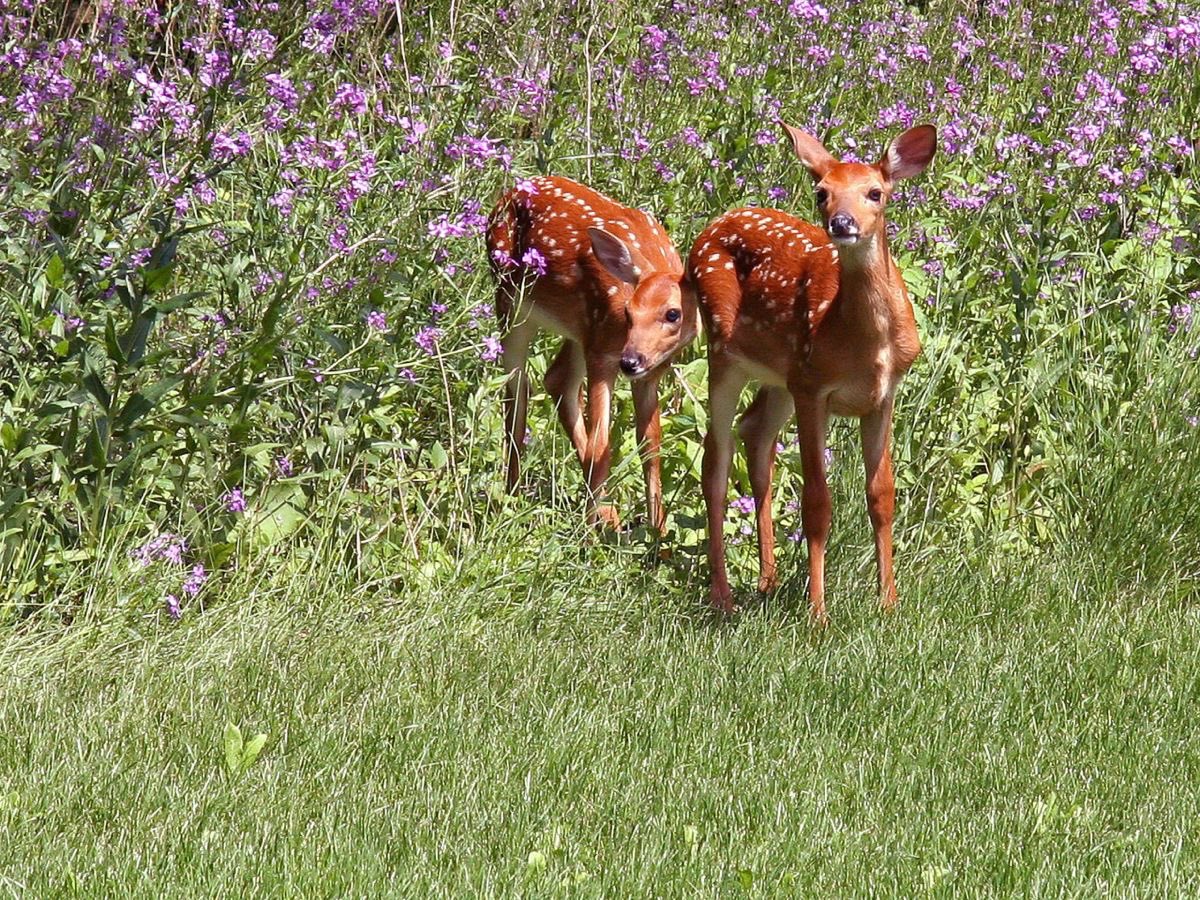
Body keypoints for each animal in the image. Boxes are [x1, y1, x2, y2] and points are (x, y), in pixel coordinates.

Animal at [486, 175, 699, 533]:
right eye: (628, 311)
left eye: (673, 314)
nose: (631, 361)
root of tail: (511, 191)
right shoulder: (602, 355)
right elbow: (603, 446)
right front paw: (586, 534)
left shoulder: (652, 371)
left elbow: (650, 444)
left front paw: (658, 532)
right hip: (512, 301)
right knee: (516, 391)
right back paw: (512, 495)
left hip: (578, 330)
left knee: (556, 380)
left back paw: (607, 511)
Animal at [689, 123, 937, 621]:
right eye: (822, 192)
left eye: (876, 192)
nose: (841, 223)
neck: (864, 341)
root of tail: (712, 225)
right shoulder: (814, 388)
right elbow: (817, 503)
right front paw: (818, 612)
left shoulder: (882, 395)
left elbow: (882, 495)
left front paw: (889, 603)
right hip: (725, 354)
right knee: (715, 461)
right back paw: (723, 597)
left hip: (779, 375)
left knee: (755, 432)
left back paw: (767, 580)